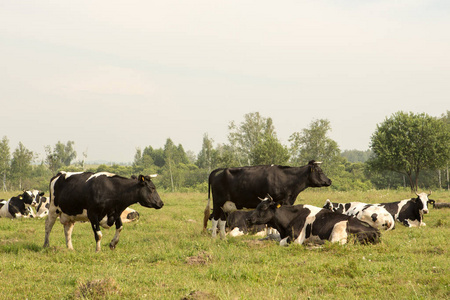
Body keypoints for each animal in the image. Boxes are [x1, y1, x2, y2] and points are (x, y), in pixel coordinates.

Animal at [246, 195, 380, 246]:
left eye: (263, 207)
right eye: (257, 205)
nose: (248, 219)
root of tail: (375, 230)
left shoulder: (295, 239)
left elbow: (281, 242)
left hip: (339, 228)